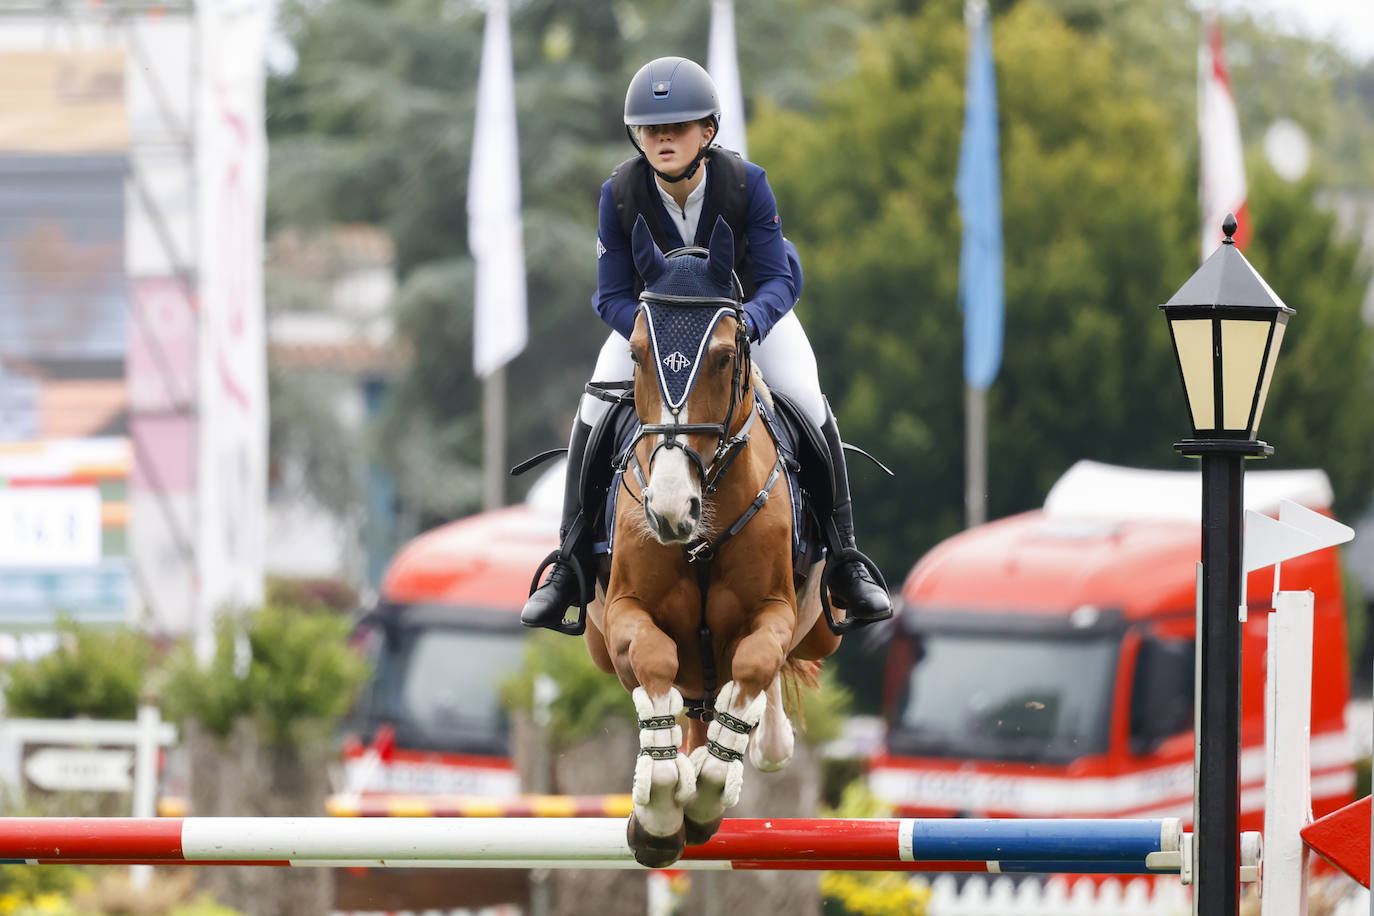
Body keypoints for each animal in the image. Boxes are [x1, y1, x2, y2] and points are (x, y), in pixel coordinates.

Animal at [577, 215, 835, 867]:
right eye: (638, 354)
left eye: (722, 358)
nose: (671, 511)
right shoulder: (622, 613)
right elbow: (654, 661)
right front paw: (661, 812)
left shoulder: (774, 611)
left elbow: (756, 662)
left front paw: (709, 789)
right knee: (683, 695)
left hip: (821, 627)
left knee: (759, 694)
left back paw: (756, 741)